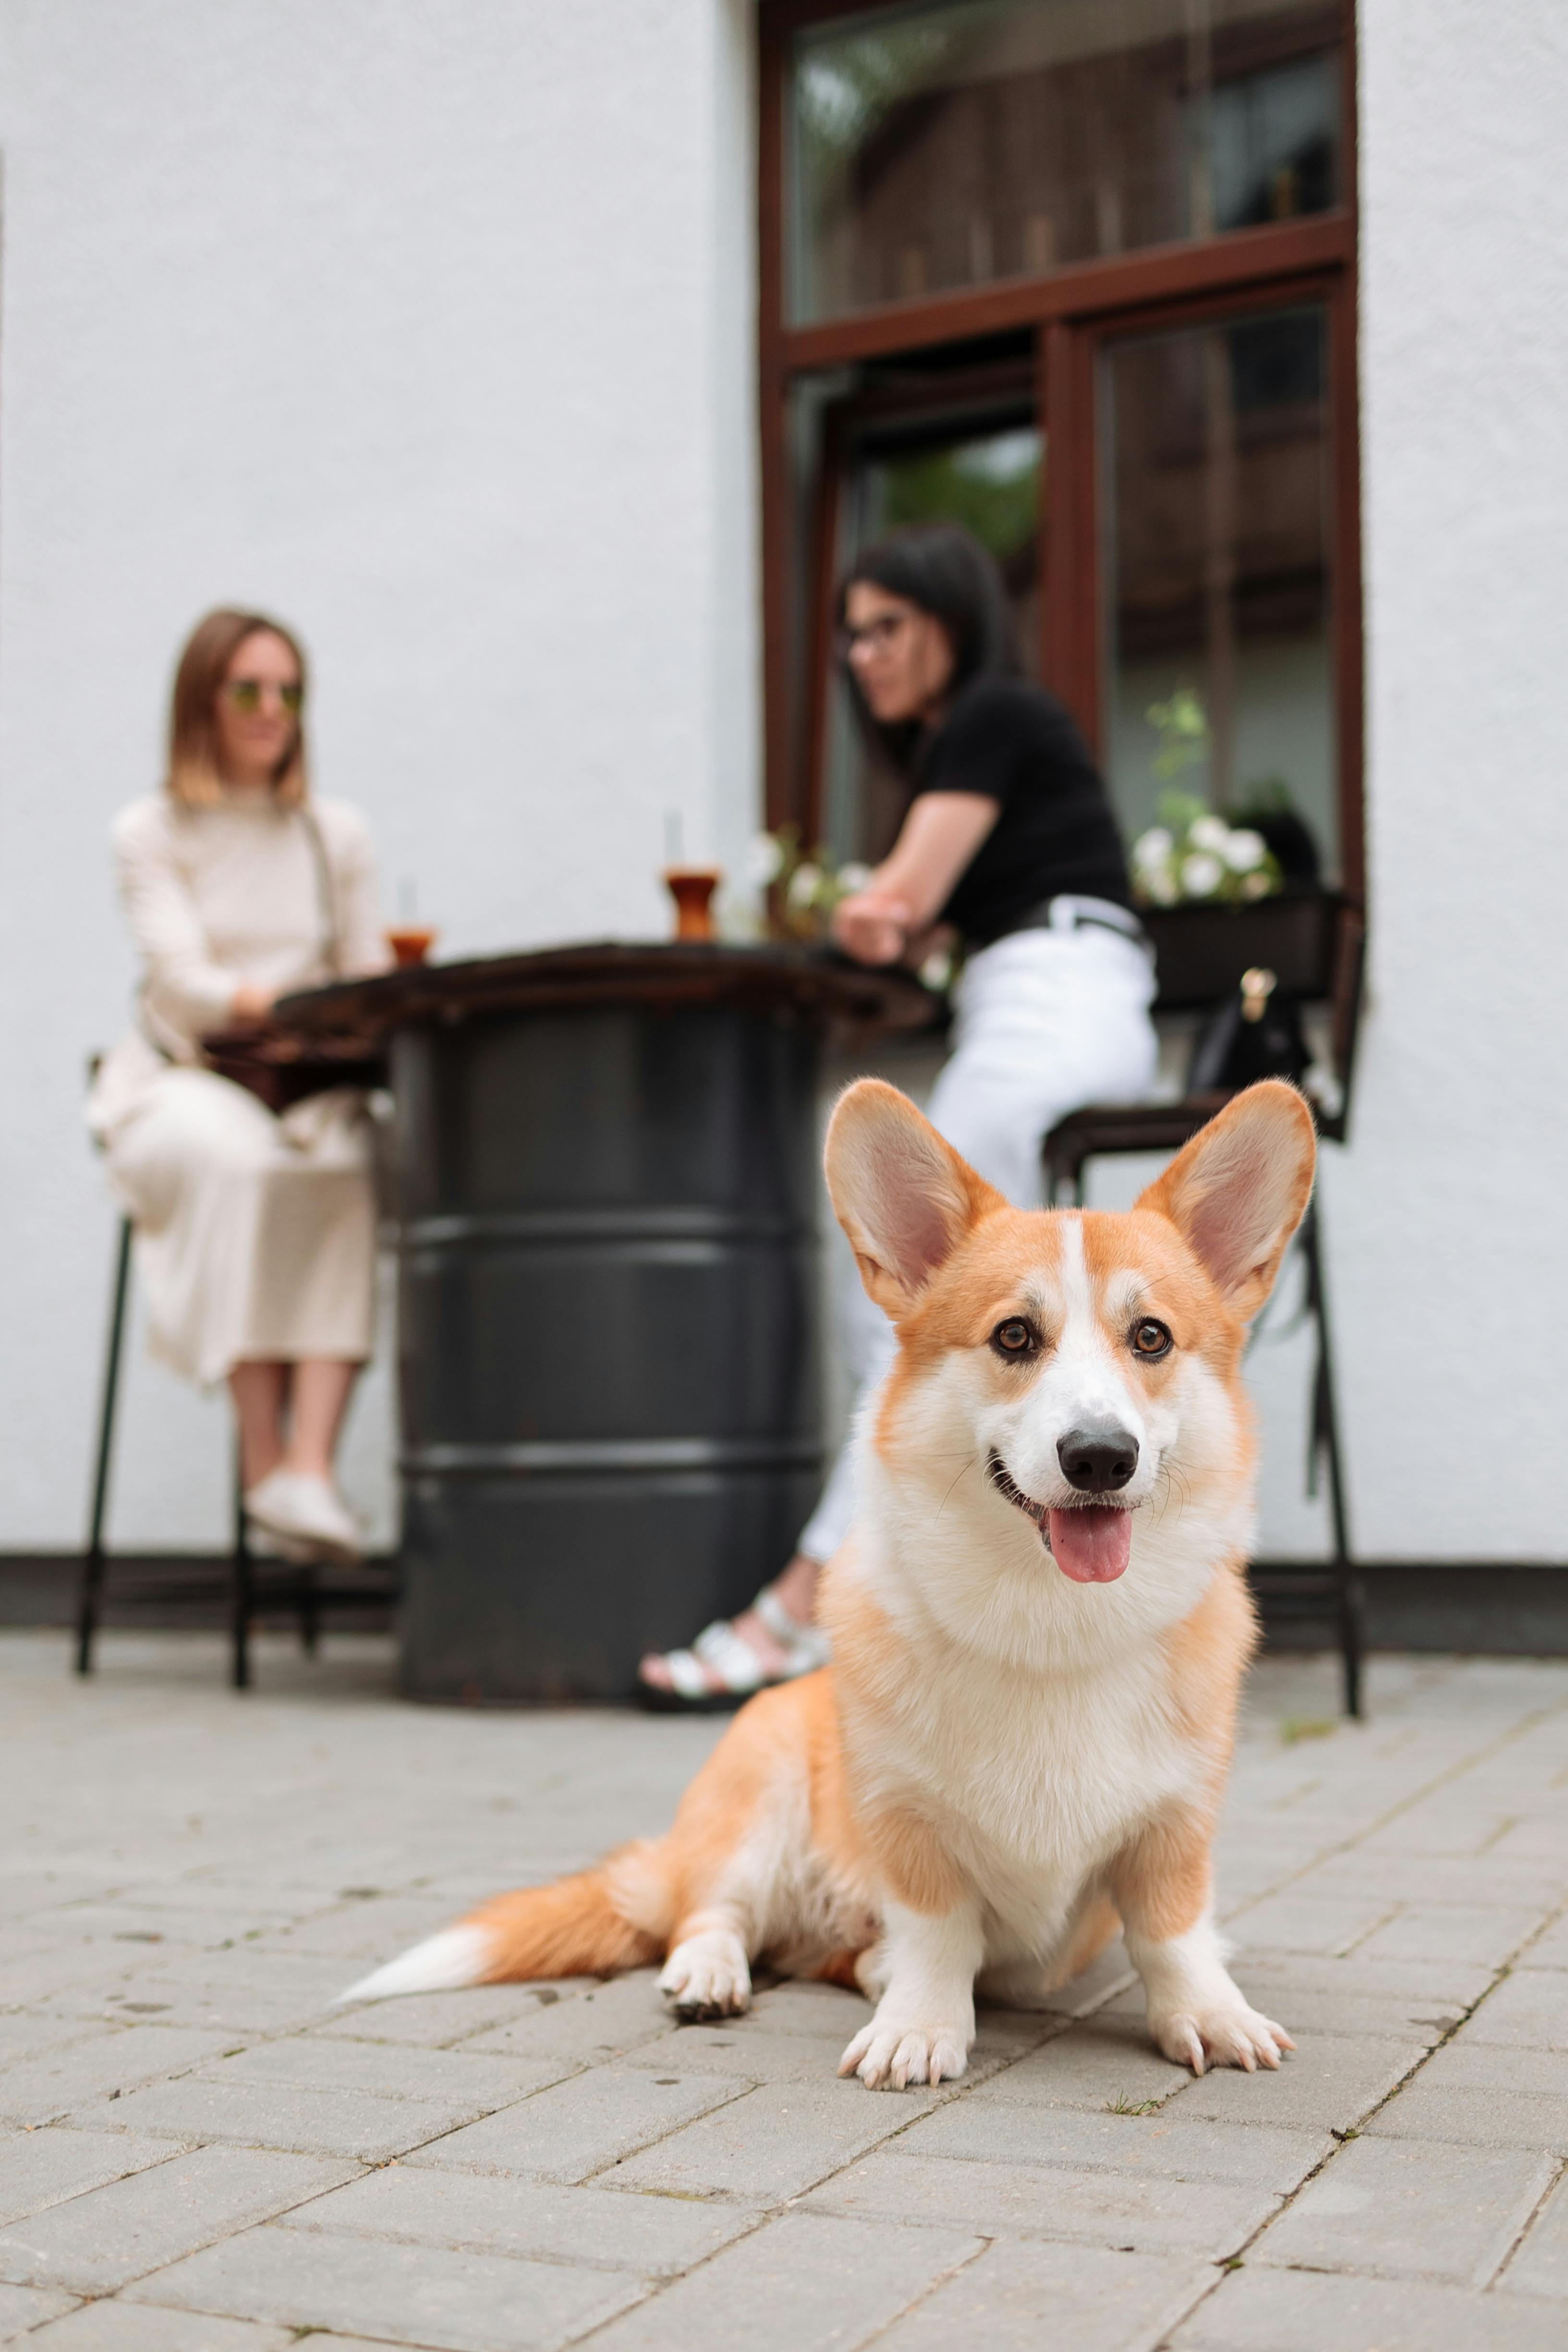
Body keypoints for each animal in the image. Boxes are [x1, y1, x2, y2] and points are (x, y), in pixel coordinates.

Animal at [350, 1077, 1316, 2088]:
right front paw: (920, 2027)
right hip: (758, 1800)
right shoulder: (906, 1822)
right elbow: (937, 1932)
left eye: (1152, 1337)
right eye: (1015, 1336)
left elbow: (1171, 1930)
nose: (1099, 1456)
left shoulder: (1176, 1824)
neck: (1052, 1625)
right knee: (712, 1913)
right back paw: (710, 1974)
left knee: (836, 1954)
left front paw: (1209, 2012)